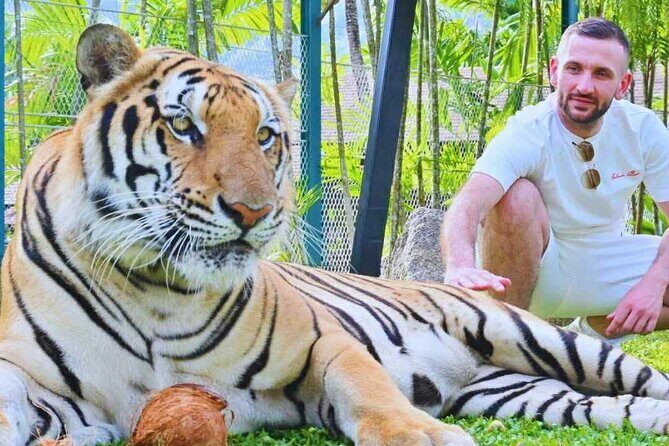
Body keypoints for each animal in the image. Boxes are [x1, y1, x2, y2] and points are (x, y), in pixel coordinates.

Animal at [0, 23, 668, 446]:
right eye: (184, 126)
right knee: (611, 405)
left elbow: (369, 390)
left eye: (265, 137)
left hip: (542, 338)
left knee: (647, 380)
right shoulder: (36, 377)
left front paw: (424, 435)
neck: (157, 291)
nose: (252, 211)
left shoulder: (325, 342)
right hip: (520, 390)